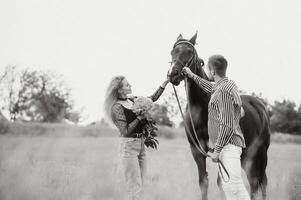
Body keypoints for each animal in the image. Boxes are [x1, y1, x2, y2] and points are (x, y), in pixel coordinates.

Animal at [166, 32, 270, 200]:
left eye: (189, 51)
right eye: (172, 52)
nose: (172, 74)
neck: (201, 108)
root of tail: (260, 107)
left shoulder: (219, 149)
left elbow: (221, 184)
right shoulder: (196, 150)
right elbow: (203, 181)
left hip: (259, 153)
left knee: (260, 182)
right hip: (245, 156)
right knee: (254, 181)